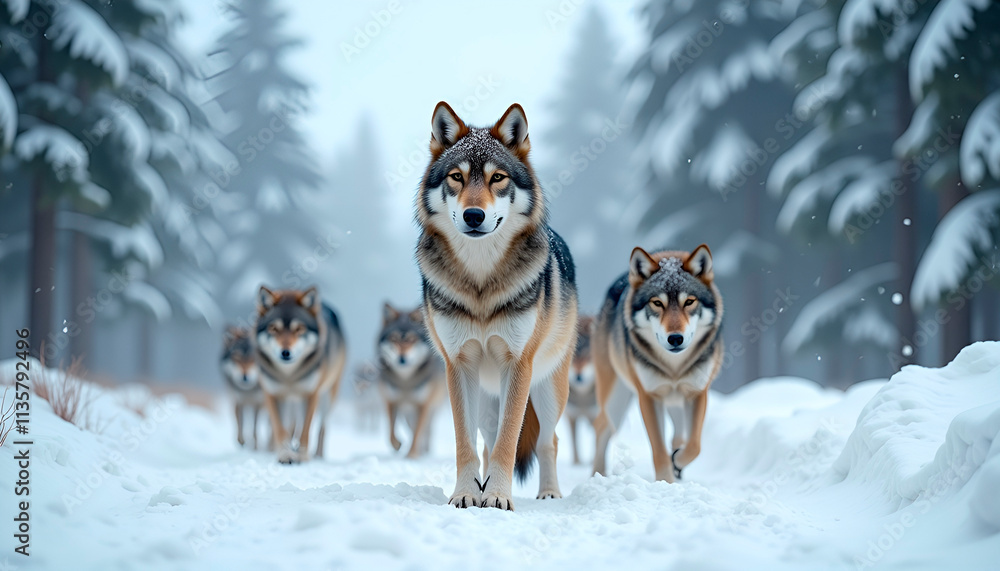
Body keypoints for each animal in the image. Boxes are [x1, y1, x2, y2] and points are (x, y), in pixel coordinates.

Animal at [255, 286, 347, 464]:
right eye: (274, 329)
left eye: (299, 329)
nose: (285, 352)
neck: (289, 376)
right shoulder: (272, 394)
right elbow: (280, 429)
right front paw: (285, 455)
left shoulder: (311, 394)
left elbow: (306, 429)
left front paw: (303, 457)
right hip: (291, 402)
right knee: (291, 425)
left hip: (327, 397)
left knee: (321, 427)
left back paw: (317, 455)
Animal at [376, 303, 446, 458]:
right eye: (394, 339)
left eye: (411, 339)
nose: (401, 359)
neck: (405, 381)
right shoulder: (391, 400)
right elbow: (390, 431)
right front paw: (397, 445)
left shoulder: (423, 404)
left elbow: (417, 432)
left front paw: (412, 455)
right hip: (407, 412)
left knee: (425, 431)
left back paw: (423, 451)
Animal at [415, 101, 578, 510]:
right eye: (457, 177)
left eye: (498, 178)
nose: (474, 215)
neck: (481, 283)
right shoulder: (458, 364)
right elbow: (466, 444)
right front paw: (466, 494)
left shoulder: (518, 364)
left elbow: (510, 440)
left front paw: (500, 497)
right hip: (486, 400)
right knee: (487, 443)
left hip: (548, 390)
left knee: (548, 440)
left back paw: (549, 493)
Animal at [591, 245, 723, 482]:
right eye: (657, 303)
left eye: (689, 302)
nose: (676, 338)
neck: (674, 368)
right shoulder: (649, 397)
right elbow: (659, 451)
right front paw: (665, 481)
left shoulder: (697, 393)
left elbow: (694, 446)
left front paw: (676, 464)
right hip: (616, 403)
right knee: (601, 426)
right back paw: (597, 475)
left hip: (675, 404)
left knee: (678, 436)